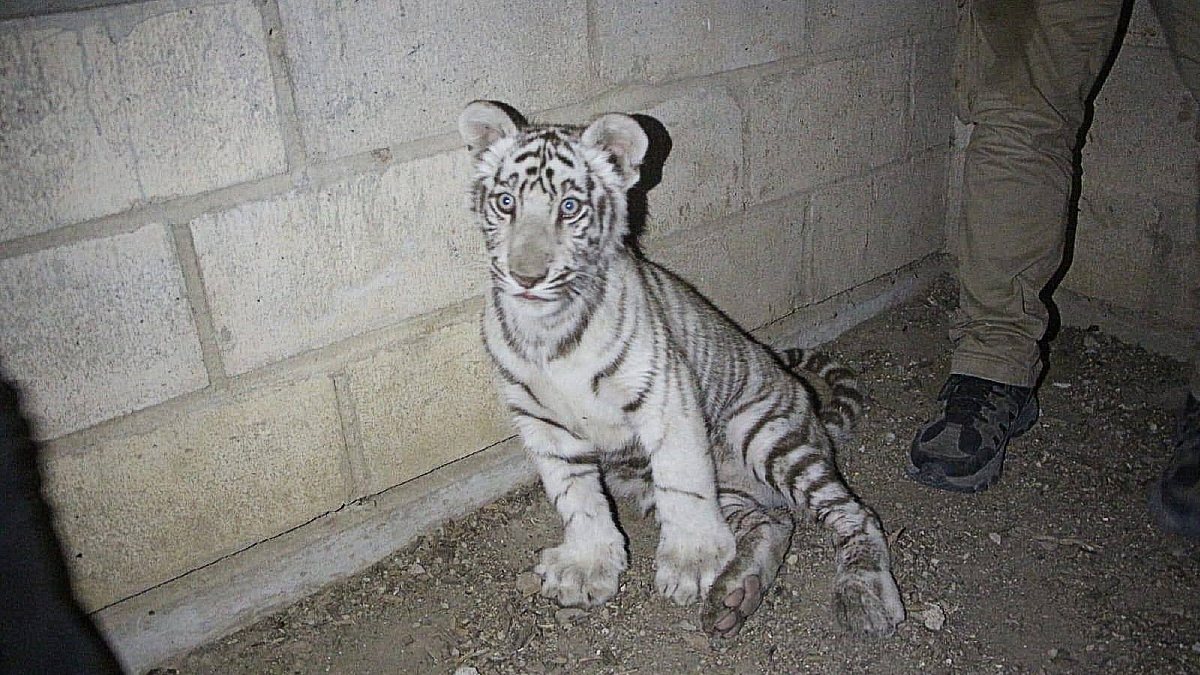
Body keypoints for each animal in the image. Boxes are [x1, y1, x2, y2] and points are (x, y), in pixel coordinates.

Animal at [457, 100, 905, 637]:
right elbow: (576, 497)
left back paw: (864, 595)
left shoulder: (664, 396)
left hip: (764, 434)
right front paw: (587, 564)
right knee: (773, 521)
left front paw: (692, 561)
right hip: (669, 482)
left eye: (570, 207)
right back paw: (736, 596)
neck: (548, 326)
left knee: (855, 513)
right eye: (506, 203)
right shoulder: (542, 422)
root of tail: (816, 422)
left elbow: (683, 482)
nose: (526, 277)